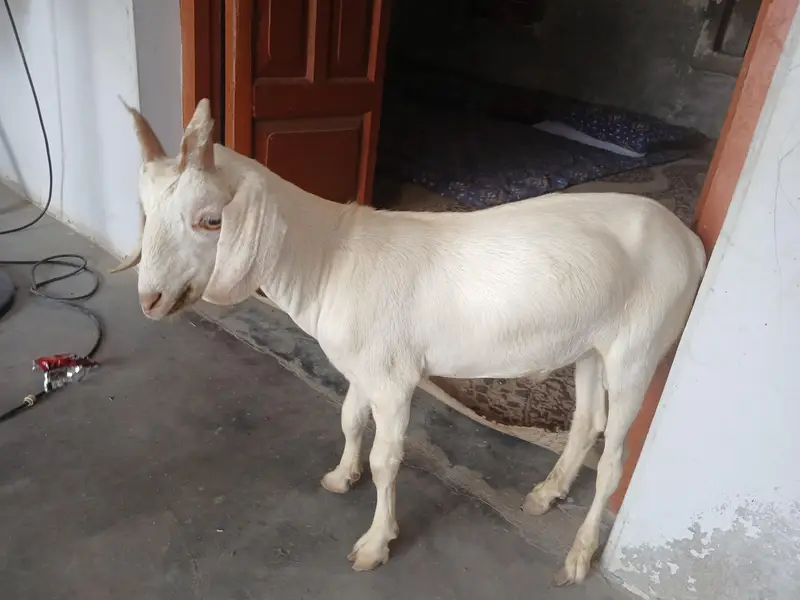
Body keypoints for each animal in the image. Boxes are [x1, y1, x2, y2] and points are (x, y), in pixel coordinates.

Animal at [114, 98, 707, 585]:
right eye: (145, 210)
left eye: (211, 220)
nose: (150, 300)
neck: (330, 257)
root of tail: (691, 243)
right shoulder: (362, 366)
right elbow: (350, 421)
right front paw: (340, 476)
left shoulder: (395, 379)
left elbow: (386, 458)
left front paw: (375, 544)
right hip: (589, 346)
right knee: (586, 422)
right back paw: (544, 495)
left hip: (639, 350)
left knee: (614, 459)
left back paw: (579, 556)